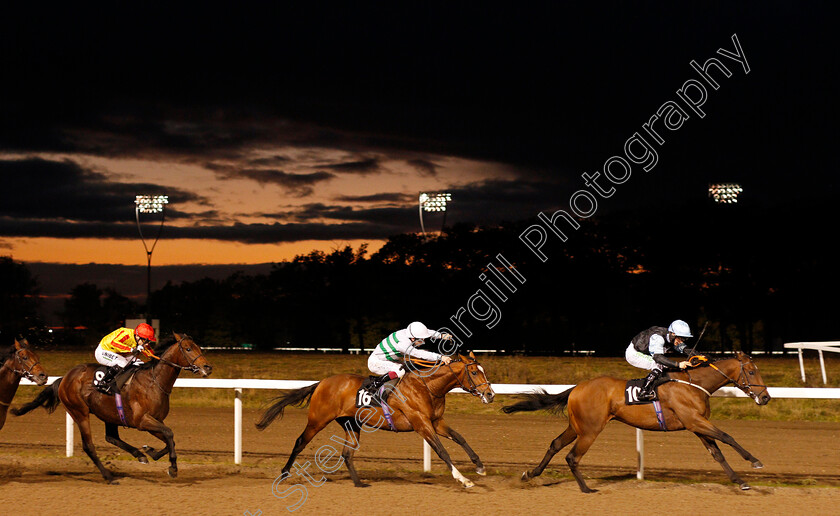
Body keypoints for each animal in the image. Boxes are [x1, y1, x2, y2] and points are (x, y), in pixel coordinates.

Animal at [13, 332, 212, 482]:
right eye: (188, 348)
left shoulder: (154, 421)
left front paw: (150, 451)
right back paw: (108, 476)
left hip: (109, 414)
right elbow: (170, 434)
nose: (207, 367)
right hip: (79, 412)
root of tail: (64, 378)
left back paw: (139, 455)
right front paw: (173, 467)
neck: (153, 381)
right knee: (89, 445)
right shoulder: (142, 421)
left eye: (199, 347)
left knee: (111, 437)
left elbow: (170, 438)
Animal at [253, 350, 496, 488]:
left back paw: (359, 483)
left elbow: (460, 438)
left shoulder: (436, 421)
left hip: (351, 424)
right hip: (317, 420)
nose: (490, 394)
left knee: (346, 453)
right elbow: (442, 450)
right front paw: (463, 479)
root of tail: (321, 383)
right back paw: (284, 474)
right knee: (300, 442)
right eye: (475, 372)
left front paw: (479, 466)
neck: (427, 387)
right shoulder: (421, 423)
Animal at [502, 350, 772, 492]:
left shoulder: (696, 425)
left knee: (555, 444)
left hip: (576, 426)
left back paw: (530, 474)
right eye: (751, 371)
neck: (694, 383)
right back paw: (586, 488)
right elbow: (728, 437)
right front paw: (755, 461)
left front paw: (740, 481)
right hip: (590, 430)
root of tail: (577, 388)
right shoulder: (694, 421)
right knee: (572, 456)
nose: (766, 397)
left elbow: (717, 453)